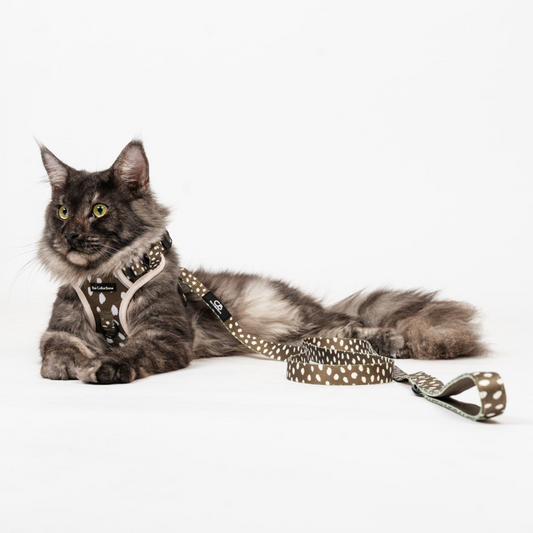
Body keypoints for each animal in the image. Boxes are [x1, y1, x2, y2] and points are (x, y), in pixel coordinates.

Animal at [38, 140, 485, 384]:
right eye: (62, 211)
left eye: (98, 210)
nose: (69, 235)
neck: (102, 279)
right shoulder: (59, 331)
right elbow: (55, 357)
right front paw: (79, 362)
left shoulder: (164, 333)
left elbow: (128, 351)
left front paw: (103, 366)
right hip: (298, 339)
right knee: (339, 334)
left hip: (296, 319)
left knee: (349, 323)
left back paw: (391, 341)